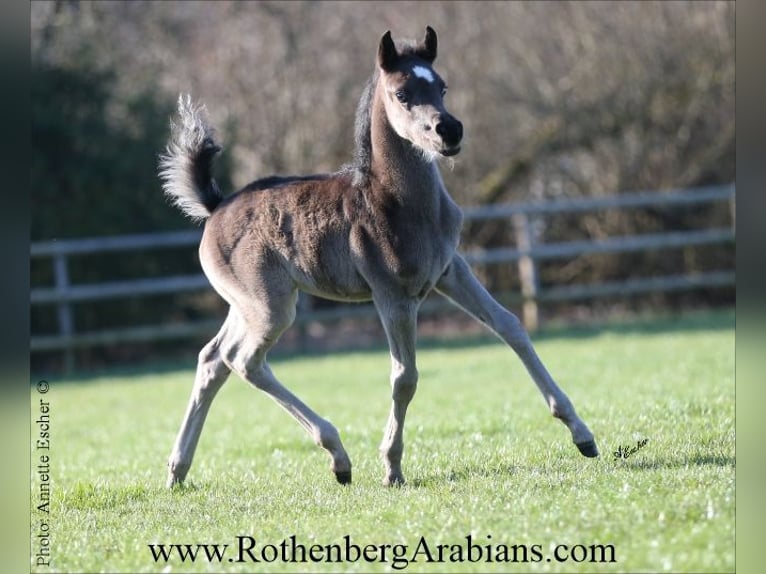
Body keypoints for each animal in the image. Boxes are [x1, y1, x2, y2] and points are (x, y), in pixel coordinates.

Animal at [159, 26, 598, 488]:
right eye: (402, 94)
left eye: (442, 87)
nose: (450, 130)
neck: (402, 203)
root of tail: (215, 207)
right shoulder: (393, 296)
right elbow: (405, 377)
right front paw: (392, 466)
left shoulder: (450, 271)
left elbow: (510, 325)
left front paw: (582, 435)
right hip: (269, 305)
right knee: (243, 360)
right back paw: (337, 455)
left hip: (244, 305)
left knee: (212, 359)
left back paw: (177, 470)